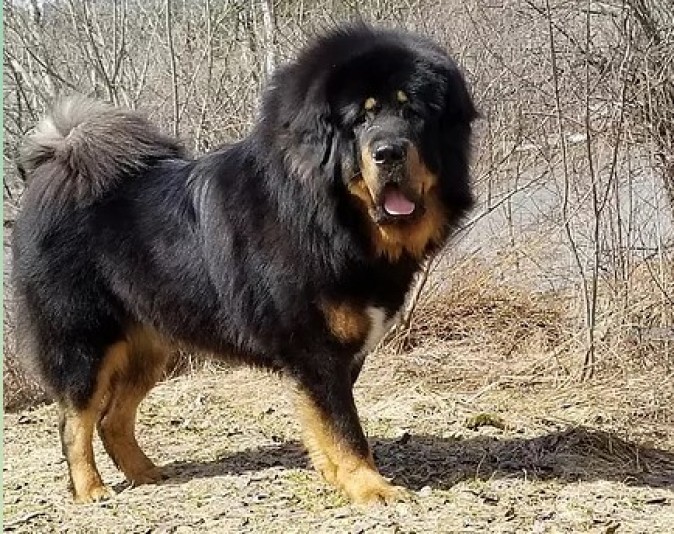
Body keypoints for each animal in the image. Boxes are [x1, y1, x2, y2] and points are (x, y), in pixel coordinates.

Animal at [10, 22, 472, 506]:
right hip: (84, 345)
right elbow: (345, 428)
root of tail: (56, 171)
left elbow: (325, 424)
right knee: (74, 422)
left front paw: (333, 477)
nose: (389, 152)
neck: (327, 219)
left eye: (413, 113)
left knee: (112, 418)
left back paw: (146, 473)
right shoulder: (316, 351)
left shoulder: (339, 355)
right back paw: (91, 489)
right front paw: (370, 486)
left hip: (148, 349)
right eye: (359, 120)